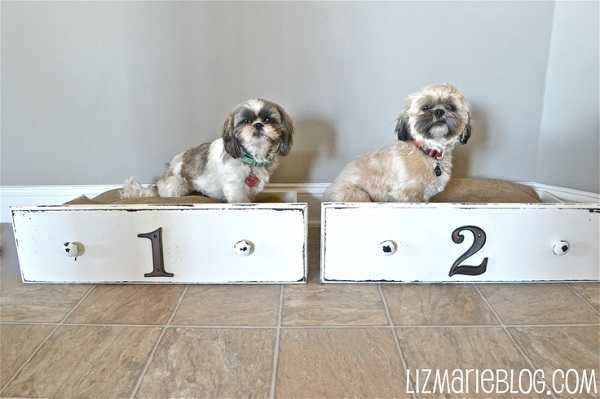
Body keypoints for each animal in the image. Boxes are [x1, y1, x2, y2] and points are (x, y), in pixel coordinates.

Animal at [322, 84, 472, 203]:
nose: (439, 111)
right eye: (425, 107)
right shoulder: (406, 195)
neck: (426, 150)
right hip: (357, 194)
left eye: (452, 107)